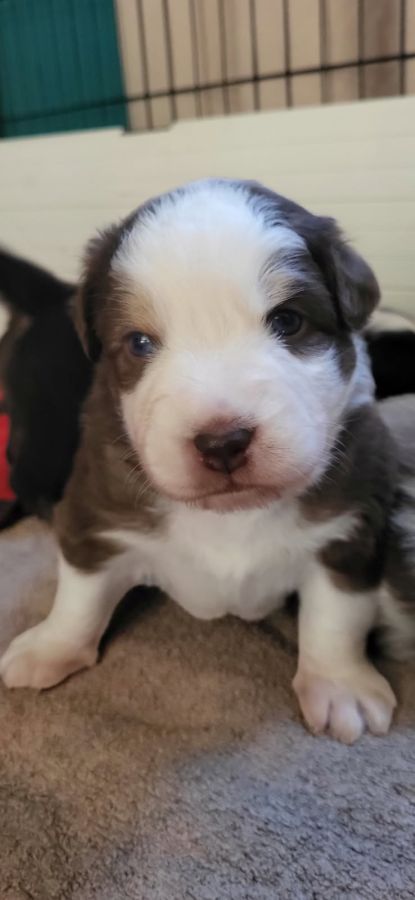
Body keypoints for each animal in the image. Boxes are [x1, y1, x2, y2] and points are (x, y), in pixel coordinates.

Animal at [1, 179, 415, 744]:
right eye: (140, 342)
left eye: (288, 321)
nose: (223, 443)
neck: (231, 516)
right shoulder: (95, 511)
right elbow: (79, 597)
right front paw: (49, 647)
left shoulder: (351, 527)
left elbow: (335, 619)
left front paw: (339, 687)